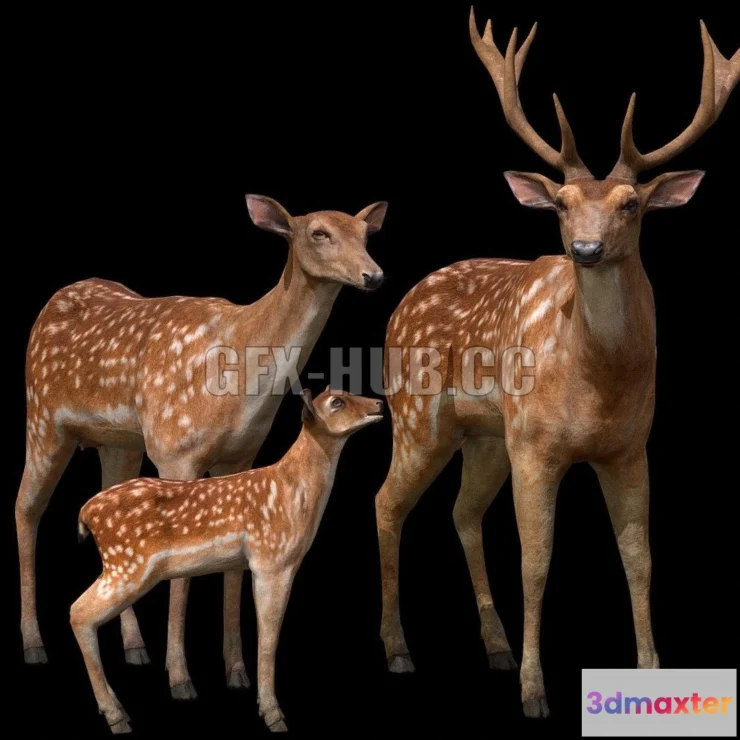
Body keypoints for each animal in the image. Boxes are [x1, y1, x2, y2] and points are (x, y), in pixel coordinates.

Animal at [71, 388, 384, 734]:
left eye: (345, 392)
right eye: (336, 403)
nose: (379, 404)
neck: (292, 492)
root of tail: (85, 514)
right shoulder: (271, 560)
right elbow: (268, 636)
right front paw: (274, 715)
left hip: (122, 565)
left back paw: (117, 710)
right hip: (127, 563)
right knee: (79, 612)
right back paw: (116, 716)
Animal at [374, 10, 738, 719]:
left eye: (631, 203)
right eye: (563, 201)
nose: (586, 248)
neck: (595, 387)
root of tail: (402, 302)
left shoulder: (630, 447)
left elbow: (639, 558)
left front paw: (651, 672)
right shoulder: (538, 445)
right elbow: (537, 560)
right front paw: (535, 691)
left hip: (488, 435)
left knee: (461, 511)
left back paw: (494, 647)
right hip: (418, 415)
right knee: (387, 502)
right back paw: (399, 650)